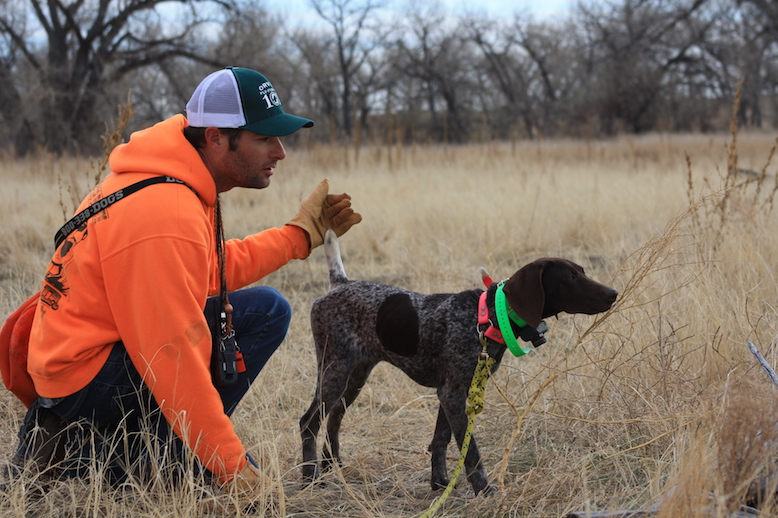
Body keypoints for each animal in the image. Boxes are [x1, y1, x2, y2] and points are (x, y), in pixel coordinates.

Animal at [300, 231, 616, 496]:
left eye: (582, 272)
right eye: (570, 277)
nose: (613, 293)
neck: (489, 316)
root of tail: (340, 284)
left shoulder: (455, 390)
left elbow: (441, 439)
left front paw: (439, 484)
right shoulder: (452, 393)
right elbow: (470, 450)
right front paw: (484, 491)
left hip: (355, 375)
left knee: (334, 417)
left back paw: (332, 464)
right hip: (334, 371)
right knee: (309, 422)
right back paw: (310, 476)